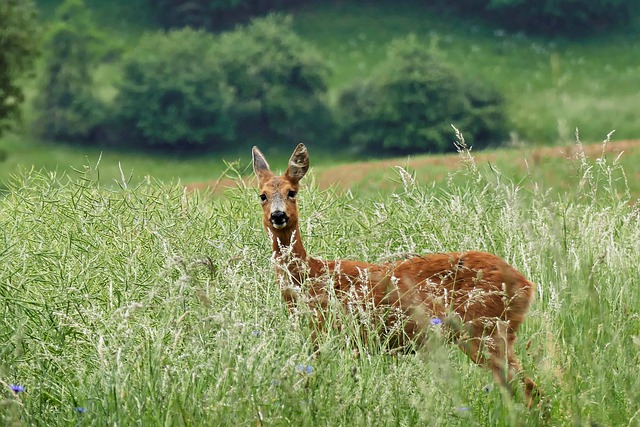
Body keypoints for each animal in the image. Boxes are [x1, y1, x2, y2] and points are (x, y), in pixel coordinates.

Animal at [250, 144, 540, 408]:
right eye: (262, 195)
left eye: (292, 192)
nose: (278, 215)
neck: (310, 276)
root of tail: (527, 284)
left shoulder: (336, 336)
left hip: (485, 330)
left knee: (529, 388)